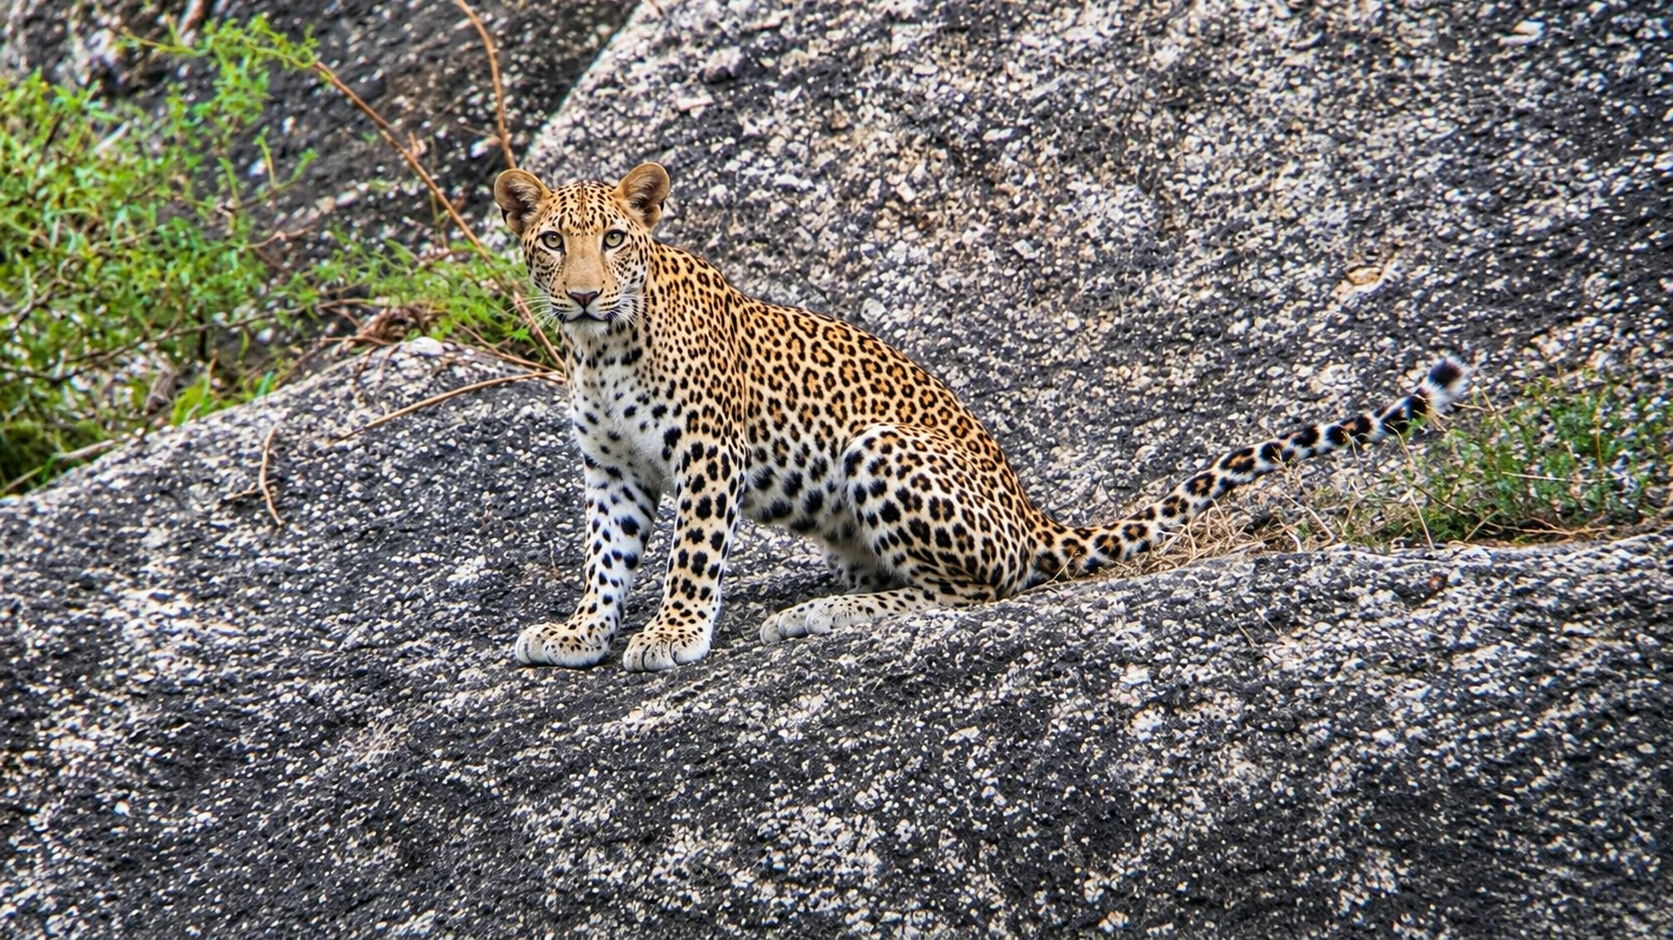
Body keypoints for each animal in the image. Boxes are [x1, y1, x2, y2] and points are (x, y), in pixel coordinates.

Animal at [492, 162, 1468, 672]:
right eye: (552, 241)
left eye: (615, 239)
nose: (582, 292)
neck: (601, 349)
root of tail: (1033, 514)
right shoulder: (611, 470)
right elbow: (606, 556)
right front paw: (581, 631)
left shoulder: (706, 451)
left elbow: (691, 554)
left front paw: (673, 633)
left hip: (882, 448)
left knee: (969, 592)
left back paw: (826, 615)